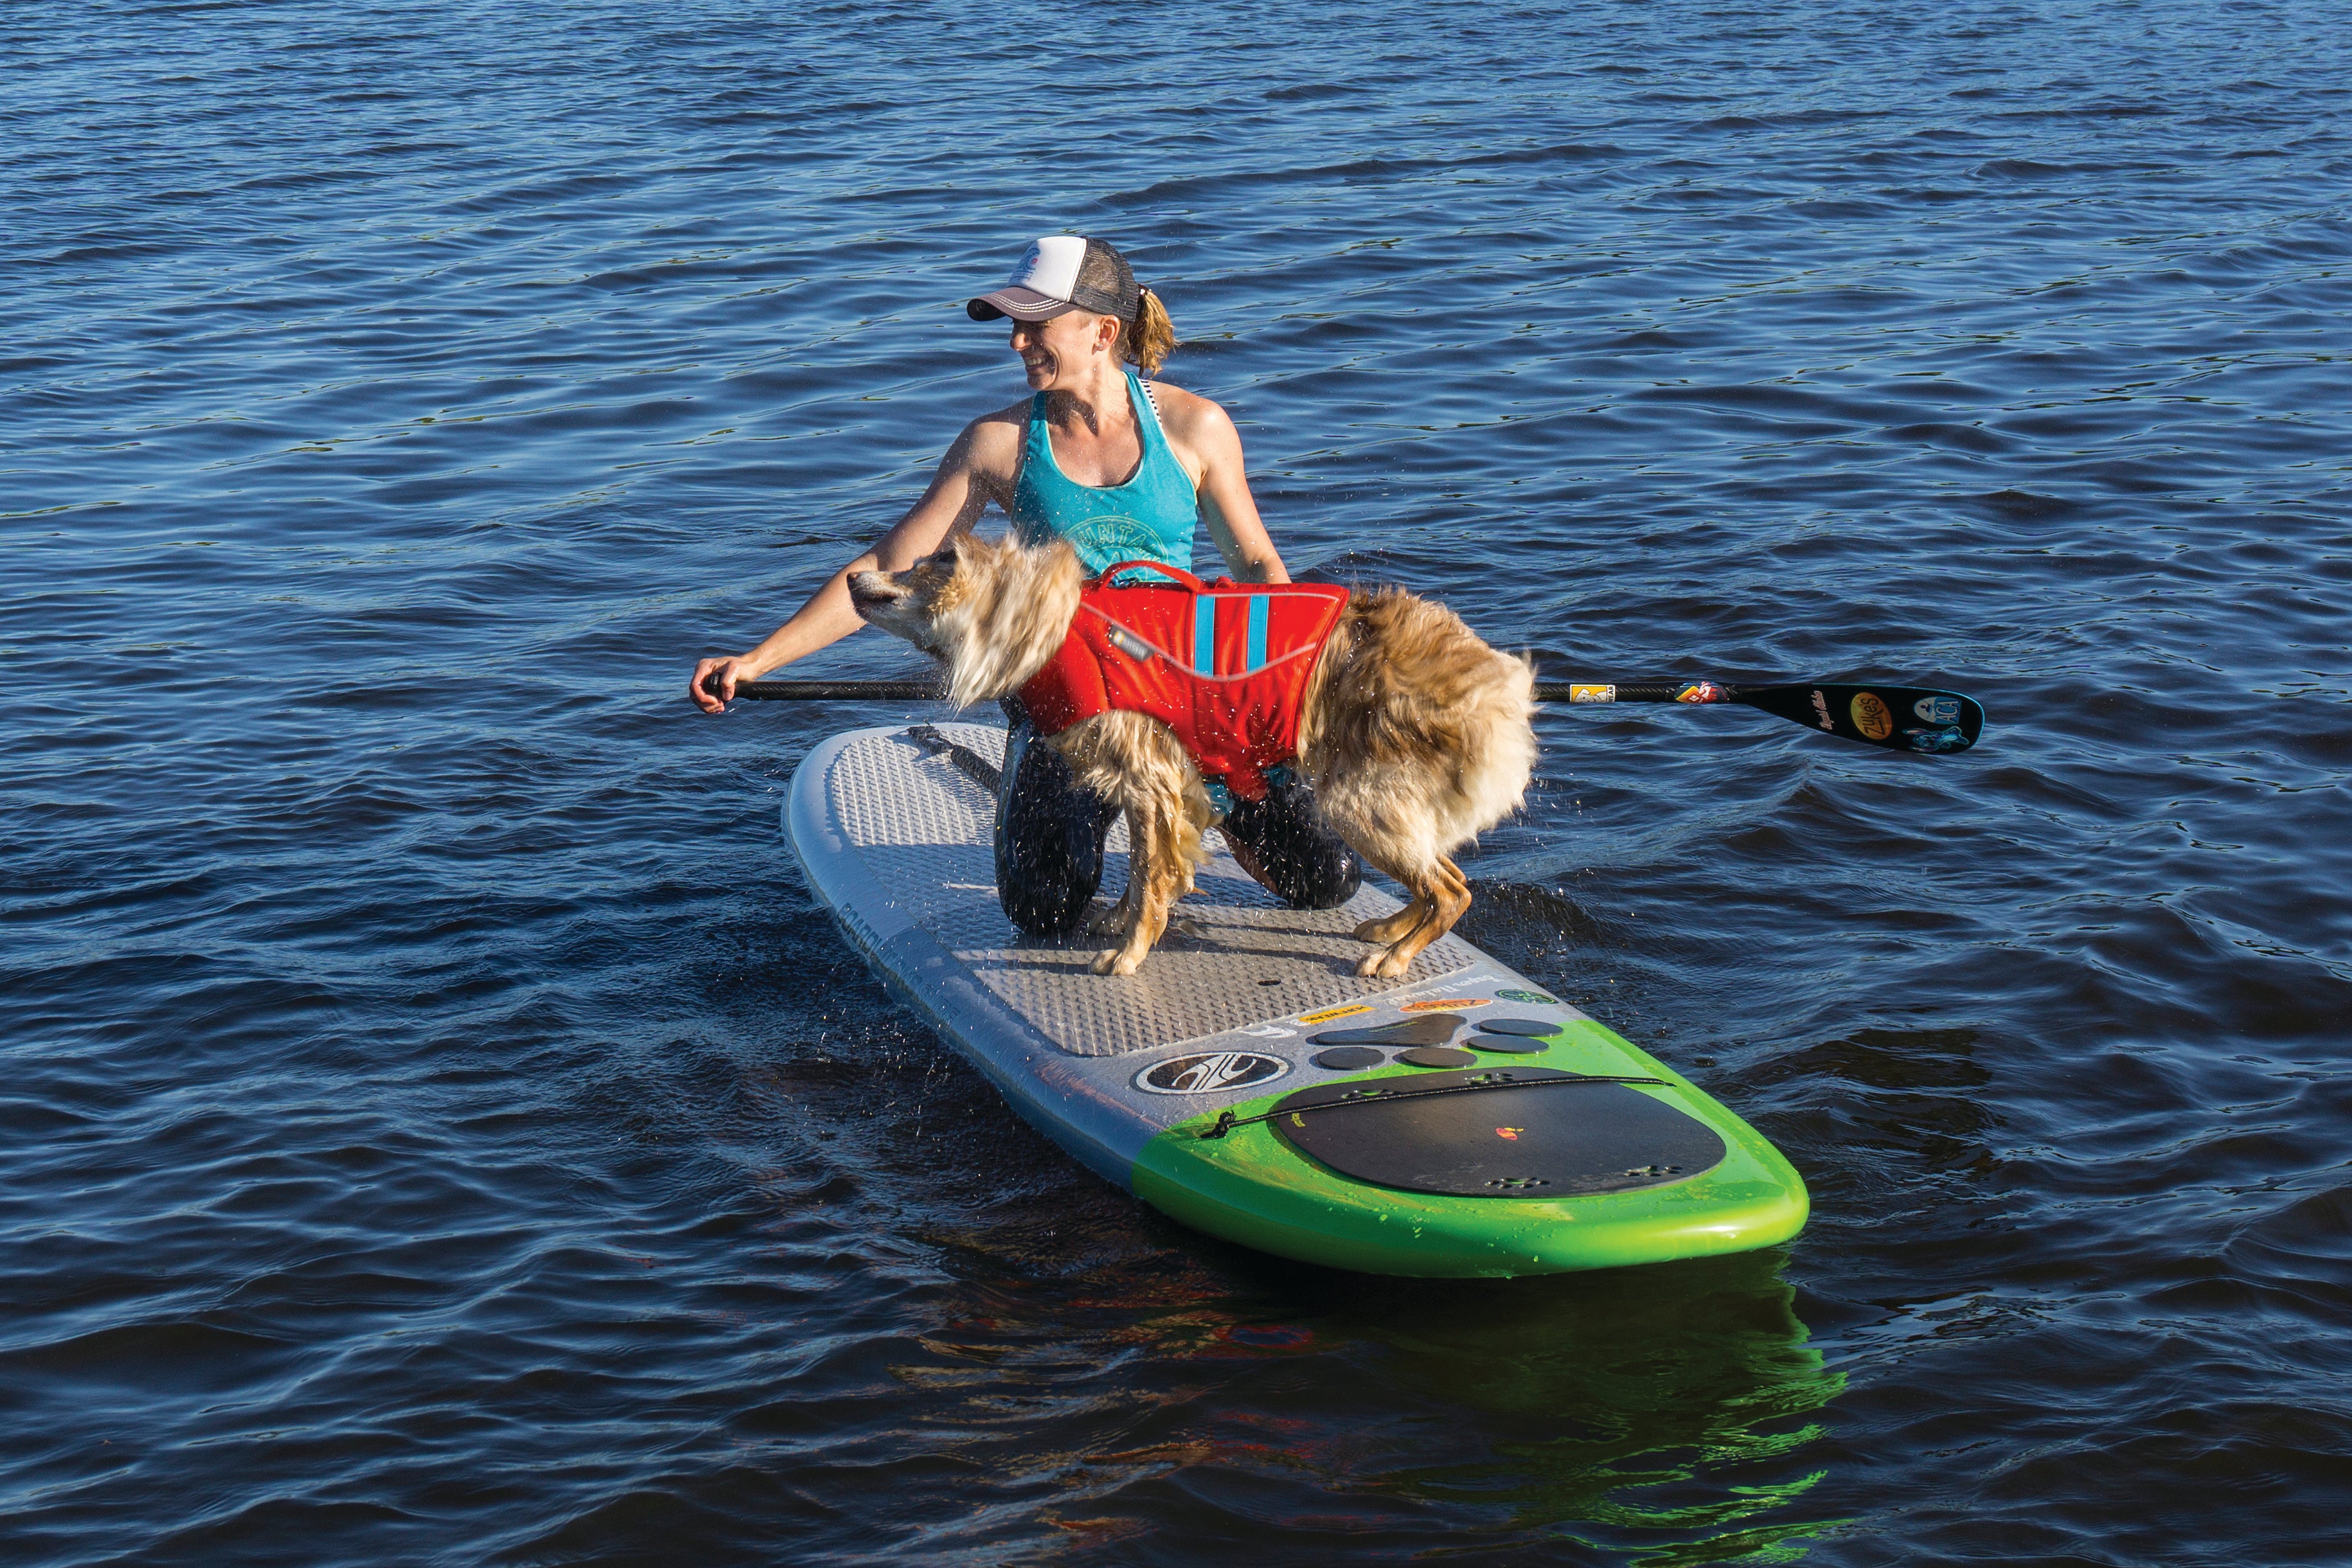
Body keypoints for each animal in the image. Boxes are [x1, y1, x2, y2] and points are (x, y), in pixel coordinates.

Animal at [851, 540, 1542, 983]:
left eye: (929, 562)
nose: (855, 577)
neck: (1053, 622)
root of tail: (1496, 683)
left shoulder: (1151, 782)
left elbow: (1151, 877)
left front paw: (1129, 954)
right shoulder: (1152, 788)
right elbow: (1141, 877)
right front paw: (1119, 922)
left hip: (1357, 801)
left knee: (1451, 891)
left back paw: (1394, 958)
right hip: (1381, 802)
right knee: (1440, 877)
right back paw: (1391, 929)